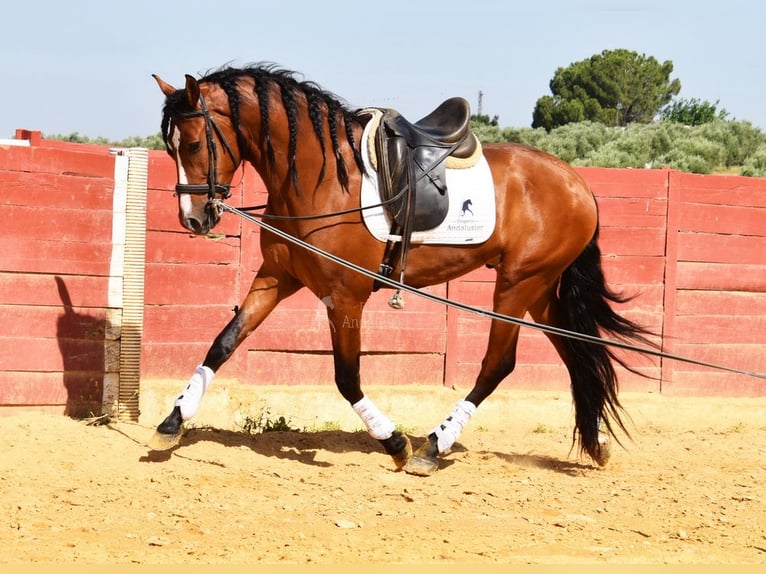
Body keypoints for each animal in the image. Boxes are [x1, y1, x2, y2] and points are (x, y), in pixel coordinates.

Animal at [153, 64, 656, 476]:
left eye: (193, 143)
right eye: (169, 147)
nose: (193, 219)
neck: (322, 180)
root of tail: (578, 184)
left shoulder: (345, 297)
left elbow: (347, 377)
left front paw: (394, 442)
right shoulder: (277, 278)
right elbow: (224, 342)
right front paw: (173, 420)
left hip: (518, 285)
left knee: (498, 365)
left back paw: (434, 446)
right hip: (539, 291)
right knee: (577, 353)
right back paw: (595, 442)